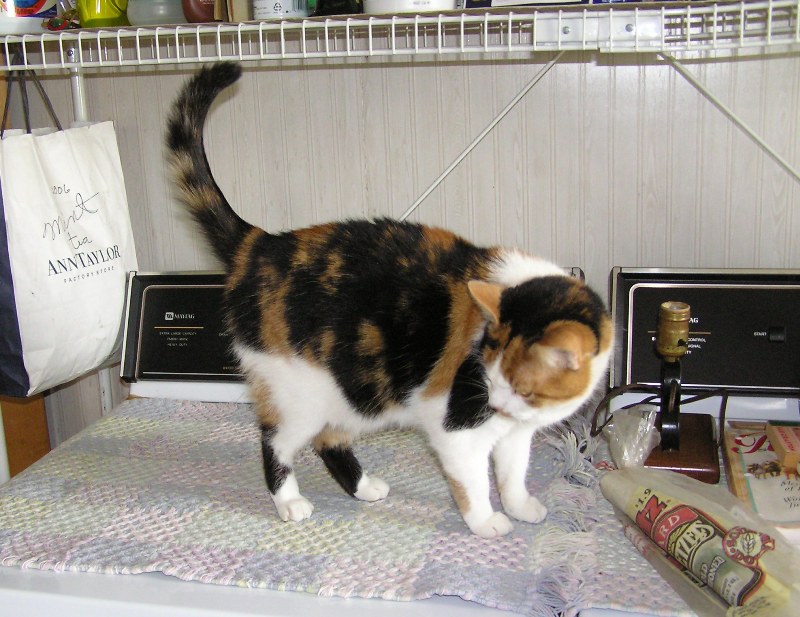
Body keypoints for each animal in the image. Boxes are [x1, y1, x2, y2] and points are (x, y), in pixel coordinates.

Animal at [164, 60, 612, 536]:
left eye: (523, 389)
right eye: (487, 377)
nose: (494, 404)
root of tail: (261, 244)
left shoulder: (515, 434)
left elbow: (513, 473)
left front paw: (521, 506)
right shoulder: (457, 428)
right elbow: (473, 480)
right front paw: (485, 521)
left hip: (357, 390)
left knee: (328, 439)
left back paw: (363, 487)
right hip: (299, 393)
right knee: (275, 441)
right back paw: (289, 501)